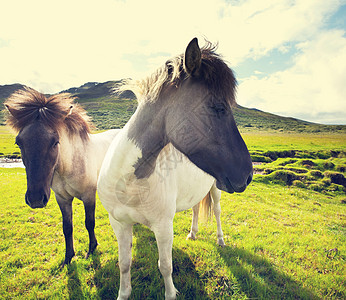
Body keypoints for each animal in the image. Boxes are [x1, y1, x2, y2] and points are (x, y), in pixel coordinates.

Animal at [3, 88, 120, 264]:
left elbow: (89, 222)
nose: (35, 199)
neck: (69, 167)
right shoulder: (62, 198)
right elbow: (67, 227)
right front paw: (68, 257)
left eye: (55, 142)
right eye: (19, 142)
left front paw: (92, 248)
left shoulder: (88, 196)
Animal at [97, 38, 251, 298]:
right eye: (218, 107)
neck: (130, 182)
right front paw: (123, 293)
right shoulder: (119, 224)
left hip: (216, 190)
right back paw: (193, 233)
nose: (248, 174)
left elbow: (165, 266)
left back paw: (220, 240)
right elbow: (125, 263)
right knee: (196, 209)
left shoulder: (163, 227)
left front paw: (171, 293)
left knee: (217, 212)